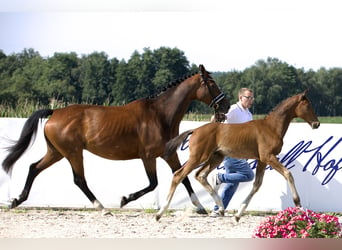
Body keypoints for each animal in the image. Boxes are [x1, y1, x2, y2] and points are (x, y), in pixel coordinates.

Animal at [2, 64, 230, 215]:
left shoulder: (168, 154)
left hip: (56, 152)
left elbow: (181, 176)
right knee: (79, 180)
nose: (226, 106)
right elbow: (154, 183)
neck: (160, 114)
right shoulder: (148, 156)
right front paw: (124, 199)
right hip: (73, 153)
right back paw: (102, 208)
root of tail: (55, 112)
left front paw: (200, 207)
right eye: (212, 83)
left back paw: (16, 200)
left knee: (34, 168)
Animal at [156, 90, 320, 221]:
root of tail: (195, 130)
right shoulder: (268, 157)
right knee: (179, 175)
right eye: (308, 105)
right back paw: (160, 212)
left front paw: (238, 214)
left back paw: (221, 206)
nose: (317, 124)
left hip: (216, 157)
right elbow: (288, 174)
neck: (271, 127)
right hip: (198, 157)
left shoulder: (262, 160)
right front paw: (298, 203)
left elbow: (257, 184)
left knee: (200, 175)